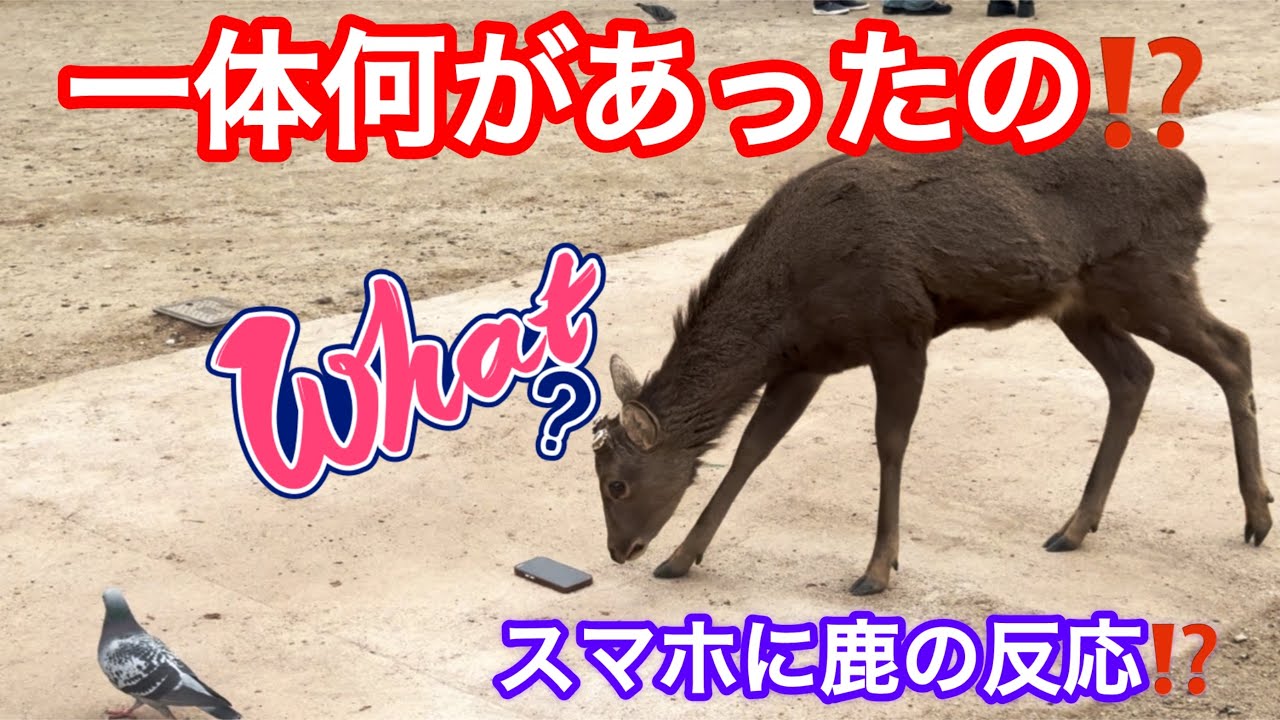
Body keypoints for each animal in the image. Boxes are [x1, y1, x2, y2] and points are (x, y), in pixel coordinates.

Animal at [589, 109, 1274, 596]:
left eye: (617, 484)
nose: (619, 551)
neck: (788, 302)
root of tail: (1196, 179)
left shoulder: (899, 328)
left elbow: (889, 441)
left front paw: (877, 570)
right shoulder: (804, 360)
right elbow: (751, 450)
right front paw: (682, 558)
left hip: (1149, 274)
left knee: (1233, 347)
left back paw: (1258, 517)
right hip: (1081, 305)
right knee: (1134, 374)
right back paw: (1074, 528)